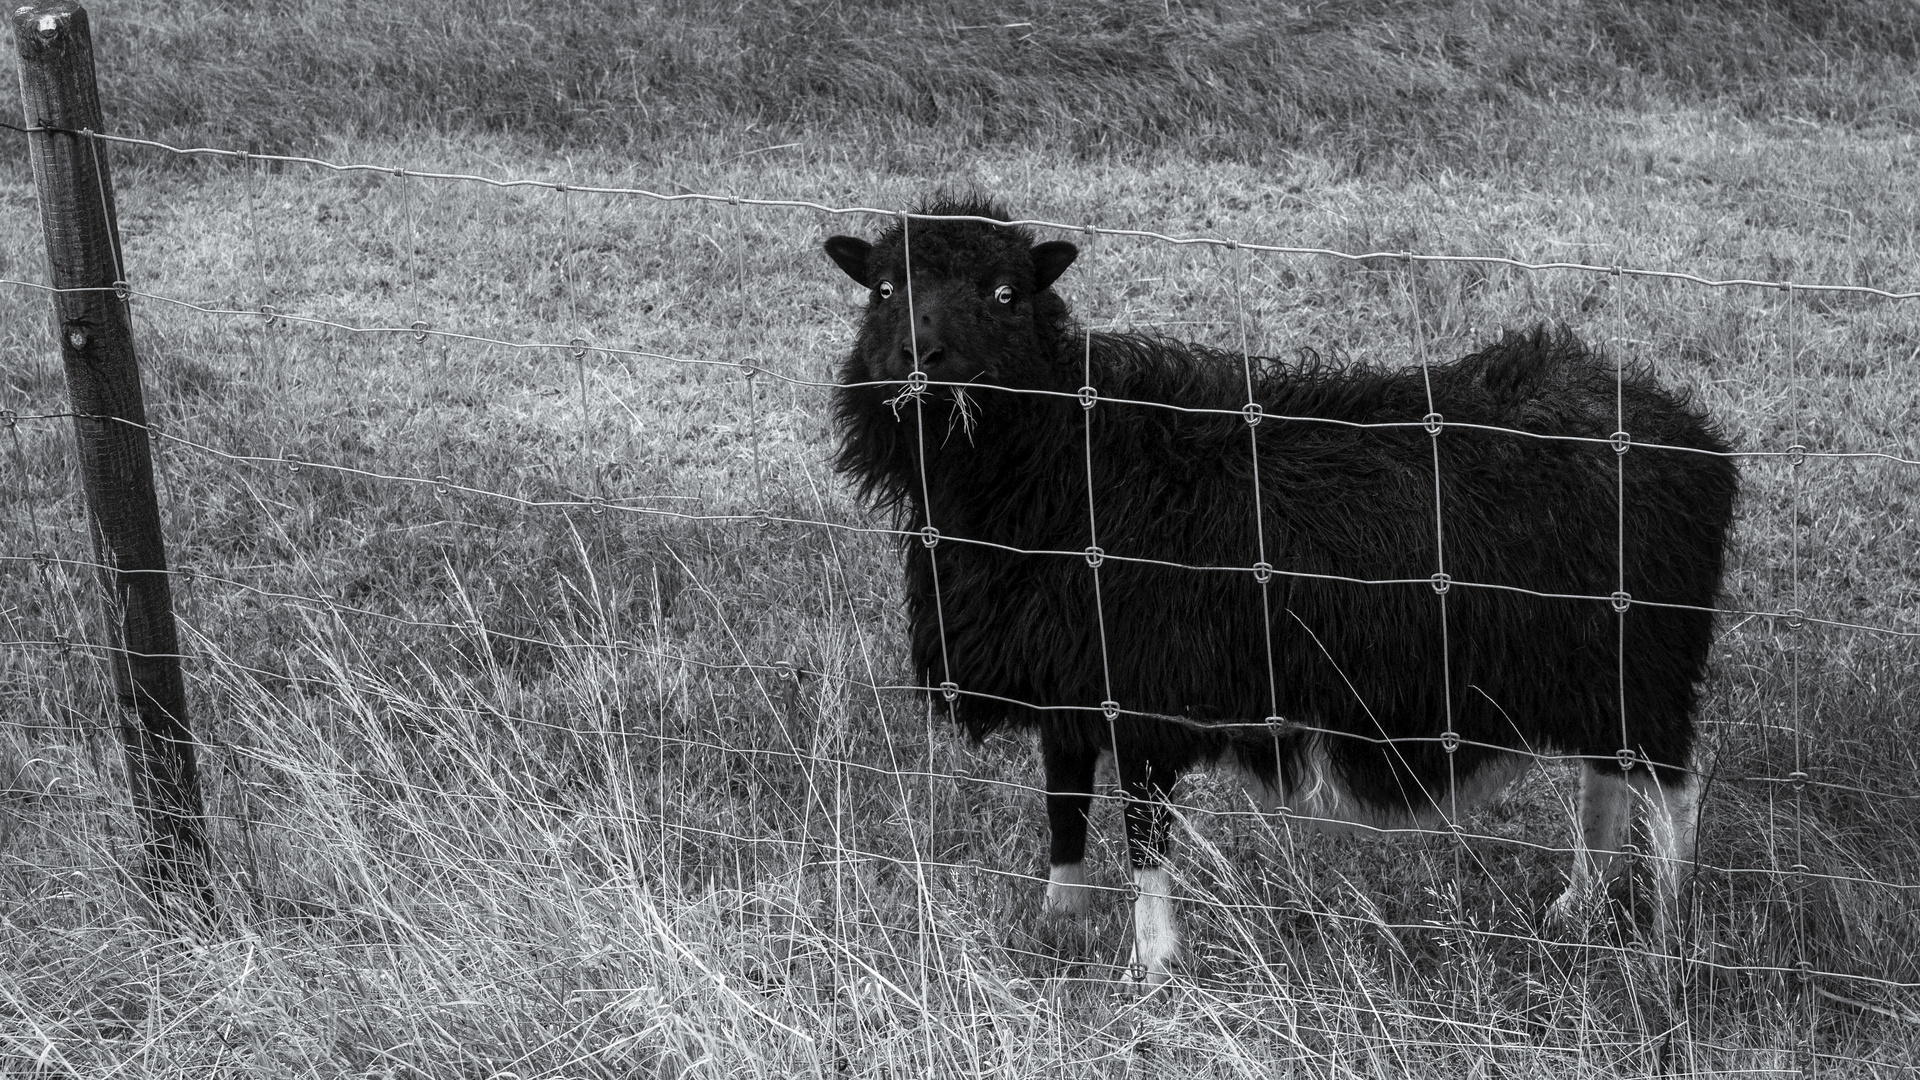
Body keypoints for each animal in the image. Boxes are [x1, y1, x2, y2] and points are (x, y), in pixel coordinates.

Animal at [821, 197, 1743, 980]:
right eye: (884, 288)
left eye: (1006, 294)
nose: (920, 358)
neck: (1060, 461)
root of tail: (1683, 431)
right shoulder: (1071, 681)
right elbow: (1064, 803)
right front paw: (1058, 920)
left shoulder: (1146, 691)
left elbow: (1143, 835)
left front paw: (1152, 966)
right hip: (1592, 669)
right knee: (1606, 778)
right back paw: (1581, 905)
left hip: (1645, 656)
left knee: (1672, 793)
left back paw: (1667, 941)